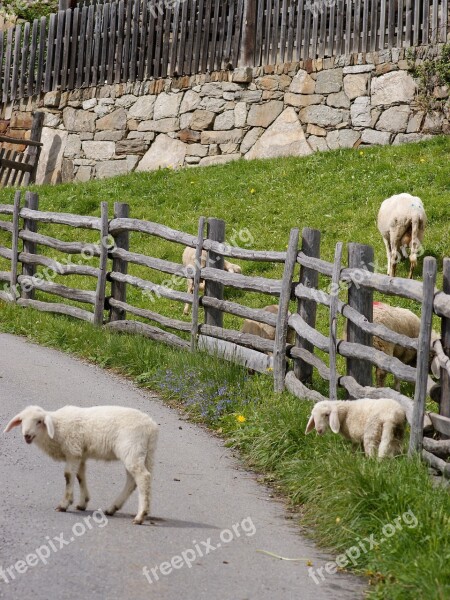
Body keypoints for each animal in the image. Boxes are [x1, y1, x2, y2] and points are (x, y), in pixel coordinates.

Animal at [3, 404, 157, 524]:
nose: (27, 435)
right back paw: (113, 508)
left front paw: (64, 504)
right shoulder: (80, 454)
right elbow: (80, 476)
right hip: (146, 454)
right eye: (22, 421)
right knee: (133, 481)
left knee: (143, 477)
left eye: (39, 421)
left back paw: (140, 516)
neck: (57, 428)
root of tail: (151, 427)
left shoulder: (73, 451)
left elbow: (68, 475)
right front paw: (83, 503)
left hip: (132, 449)